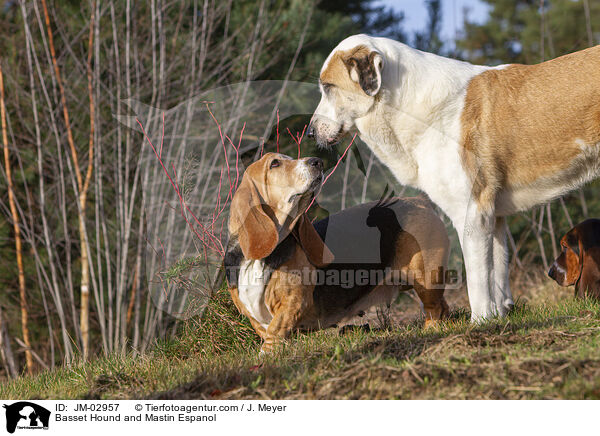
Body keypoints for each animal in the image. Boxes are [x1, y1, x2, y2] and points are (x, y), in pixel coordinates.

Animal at [226, 152, 450, 350]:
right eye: (274, 163)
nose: (317, 161)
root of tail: (420, 201)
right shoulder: (253, 316)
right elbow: (268, 333)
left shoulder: (293, 303)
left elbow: (275, 331)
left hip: (425, 278)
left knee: (435, 308)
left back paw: (431, 331)